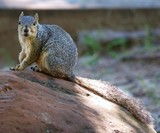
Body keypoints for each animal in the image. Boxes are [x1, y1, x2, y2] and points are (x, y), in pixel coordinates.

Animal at [10, 11, 156, 132]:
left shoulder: (36, 47)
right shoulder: (23, 48)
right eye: (19, 22)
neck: (27, 39)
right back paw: (39, 68)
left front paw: (20, 67)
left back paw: (43, 71)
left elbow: (29, 58)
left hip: (50, 58)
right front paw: (16, 65)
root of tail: (70, 71)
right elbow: (22, 55)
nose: (26, 29)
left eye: (34, 23)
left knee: (58, 75)